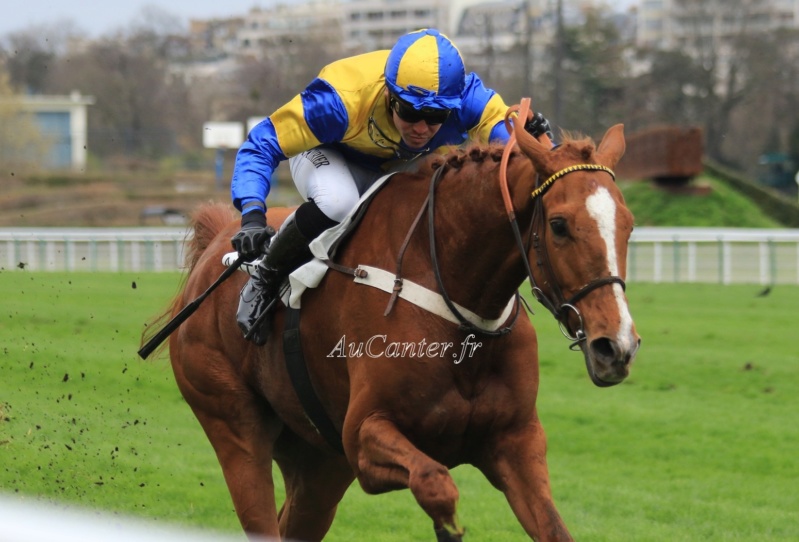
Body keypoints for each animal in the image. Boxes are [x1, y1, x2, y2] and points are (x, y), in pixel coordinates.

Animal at [147, 112, 640, 540]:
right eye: (558, 225)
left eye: (629, 225)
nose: (616, 347)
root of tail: (215, 244)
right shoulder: (364, 439)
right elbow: (438, 486)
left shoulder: (517, 443)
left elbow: (552, 528)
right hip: (233, 423)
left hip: (319, 460)